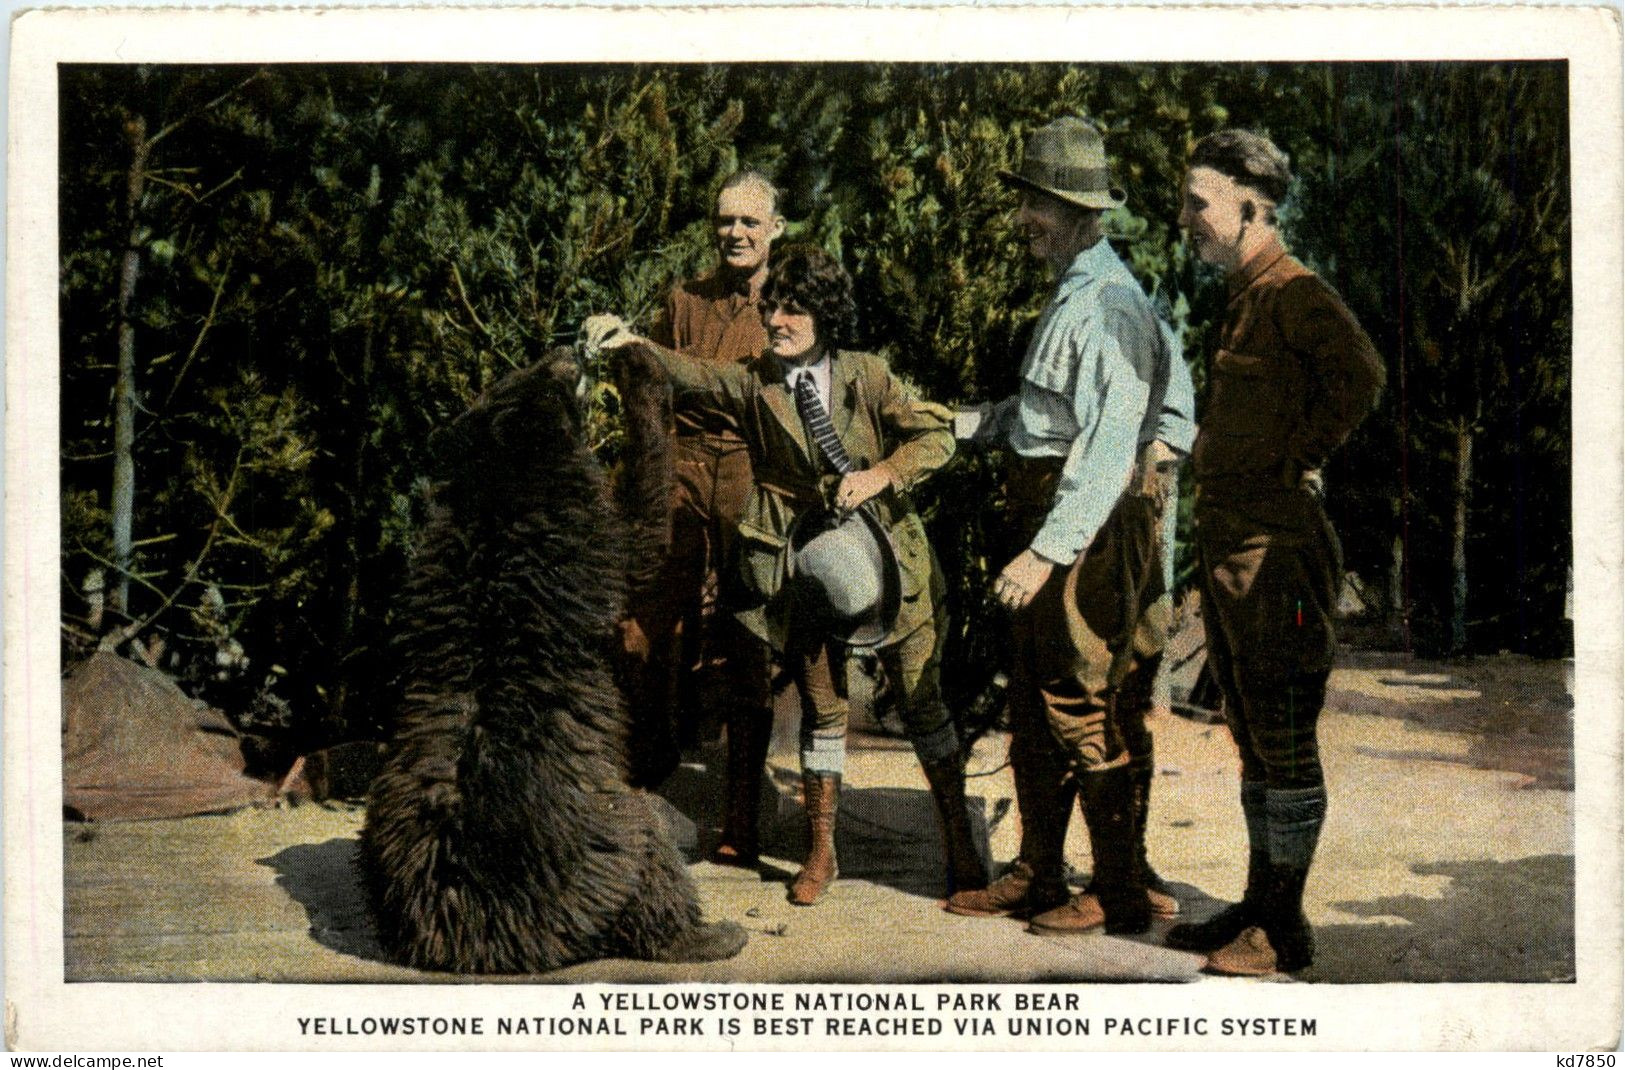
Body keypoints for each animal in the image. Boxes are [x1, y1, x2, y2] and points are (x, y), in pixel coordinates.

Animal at [359, 346, 744, 969]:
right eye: (538, 371)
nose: (568, 352)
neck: (502, 469)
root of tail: (480, 936)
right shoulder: (587, 526)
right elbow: (641, 528)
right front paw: (639, 366)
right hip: (605, 843)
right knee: (651, 855)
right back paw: (706, 934)